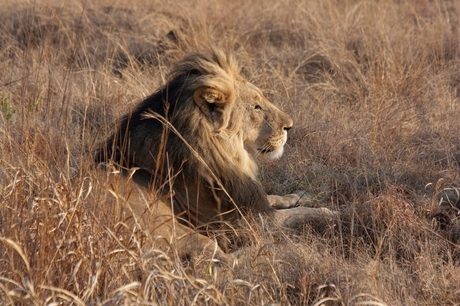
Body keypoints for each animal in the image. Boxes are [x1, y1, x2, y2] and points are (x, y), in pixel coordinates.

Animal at [95, 47, 336, 262]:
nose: (290, 126)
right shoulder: (250, 221)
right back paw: (278, 252)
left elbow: (277, 197)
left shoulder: (247, 199)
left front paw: (303, 195)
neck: (228, 154)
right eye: (256, 107)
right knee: (221, 261)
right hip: (171, 225)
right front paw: (330, 212)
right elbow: (301, 214)